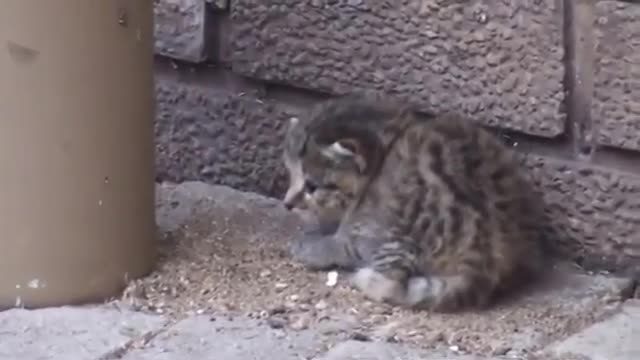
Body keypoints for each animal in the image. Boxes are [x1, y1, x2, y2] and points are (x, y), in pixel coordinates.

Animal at [282, 95, 548, 312]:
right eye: (290, 173)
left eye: (311, 186)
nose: (287, 204)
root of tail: (483, 256)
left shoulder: (369, 226)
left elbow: (344, 243)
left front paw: (314, 245)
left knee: (392, 282)